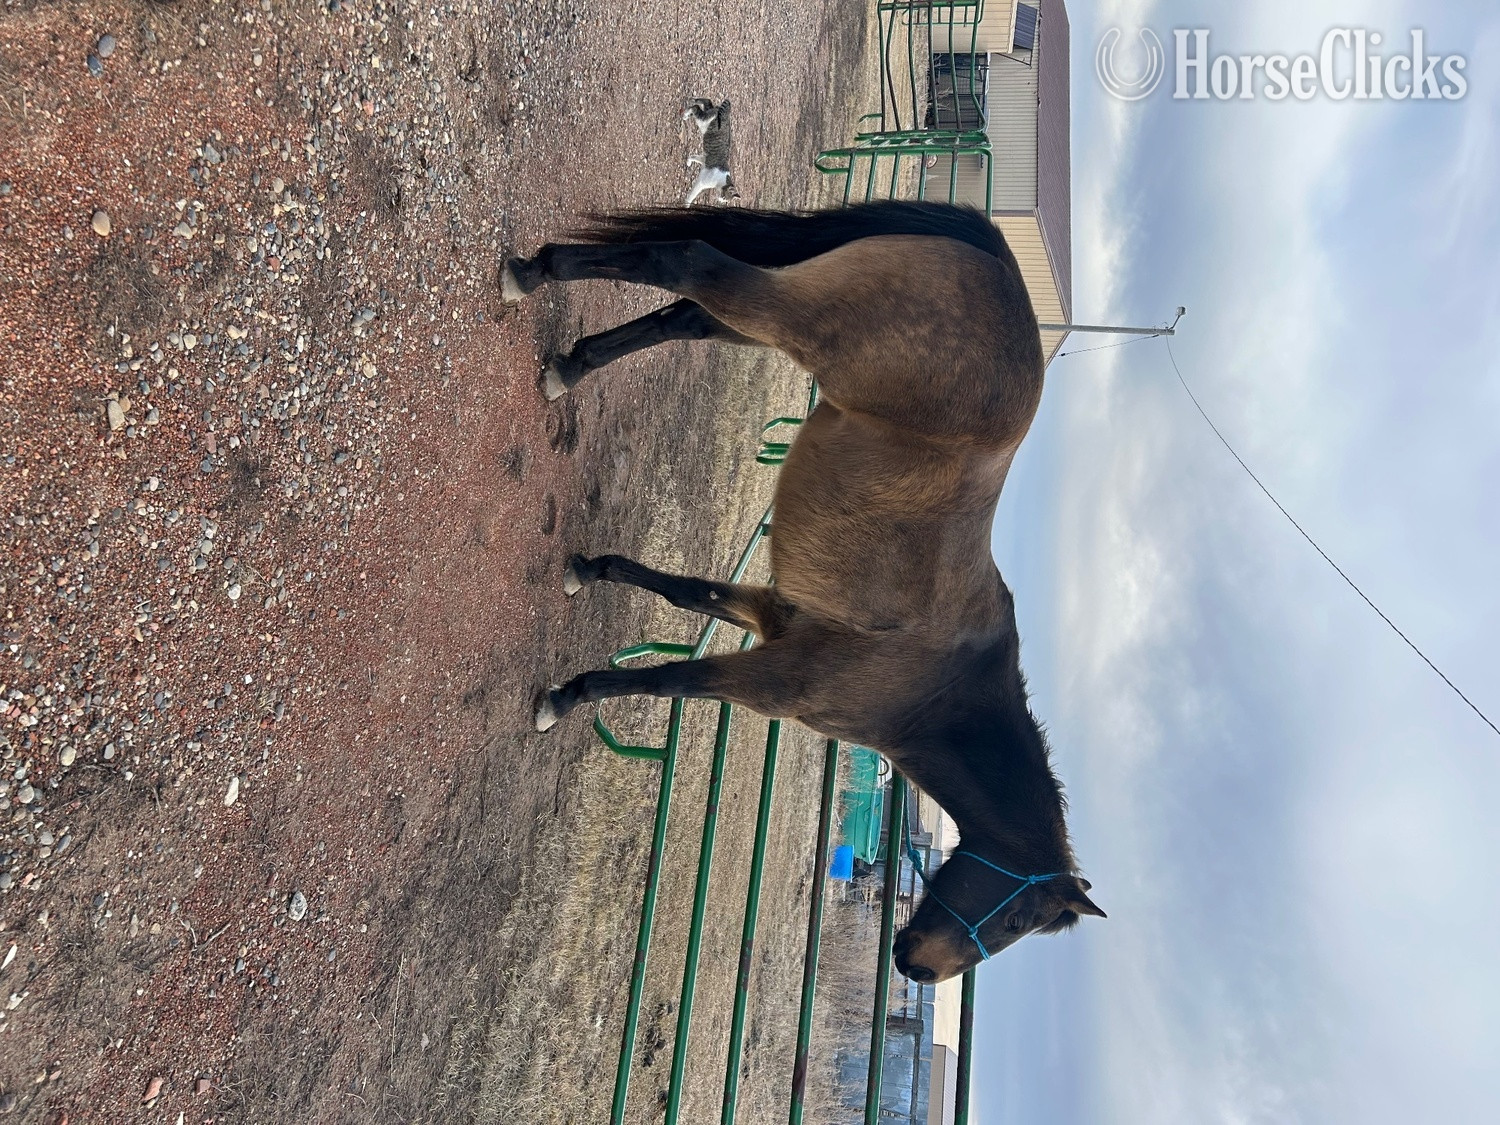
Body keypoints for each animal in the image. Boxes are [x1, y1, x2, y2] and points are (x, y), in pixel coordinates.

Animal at [504, 201, 1105, 983]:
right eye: (1016, 919)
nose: (919, 970)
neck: (937, 689)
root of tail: (999, 264)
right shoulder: (774, 680)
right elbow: (673, 679)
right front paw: (566, 697)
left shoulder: (774, 616)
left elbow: (686, 594)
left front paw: (592, 570)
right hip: (790, 314)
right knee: (689, 263)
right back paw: (532, 279)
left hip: (777, 307)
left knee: (687, 316)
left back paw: (567, 360)